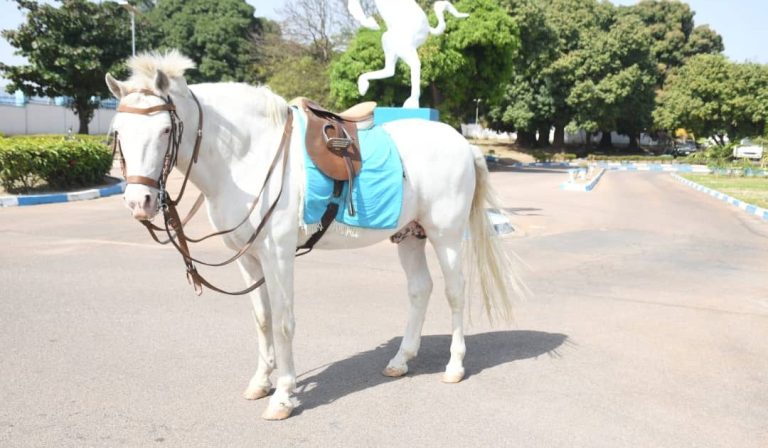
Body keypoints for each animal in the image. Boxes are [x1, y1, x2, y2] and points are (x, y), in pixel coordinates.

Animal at [105, 52, 520, 420]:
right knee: (420, 289)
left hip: (445, 235)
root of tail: (463, 144)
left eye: (165, 129)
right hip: (410, 235)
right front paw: (261, 382)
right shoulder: (248, 257)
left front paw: (284, 397)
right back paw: (401, 360)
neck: (248, 157)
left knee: (455, 292)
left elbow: (284, 321)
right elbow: (262, 319)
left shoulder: (277, 254)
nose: (139, 201)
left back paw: (454, 366)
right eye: (118, 131)